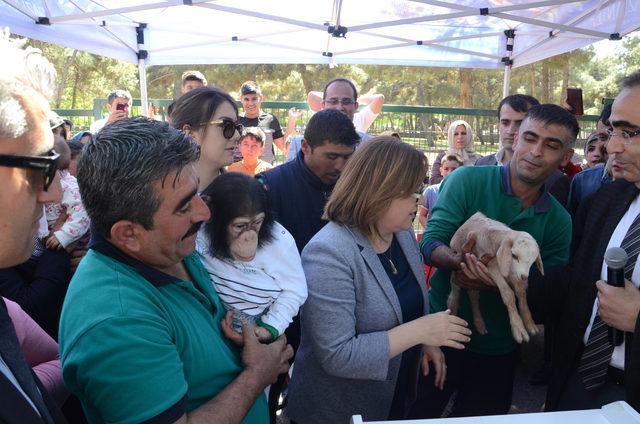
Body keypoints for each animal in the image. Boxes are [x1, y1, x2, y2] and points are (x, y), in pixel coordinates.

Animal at [444, 212, 544, 344]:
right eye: (514, 255)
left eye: (533, 260)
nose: (524, 277)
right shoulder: (492, 266)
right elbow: (508, 294)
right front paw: (518, 328)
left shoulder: (512, 271)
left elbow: (521, 293)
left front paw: (529, 323)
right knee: (454, 292)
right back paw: (453, 313)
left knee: (473, 295)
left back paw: (479, 323)